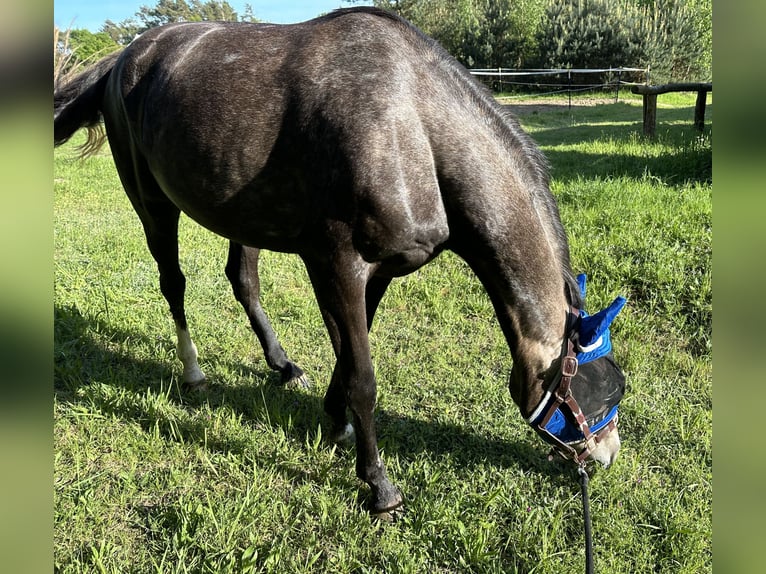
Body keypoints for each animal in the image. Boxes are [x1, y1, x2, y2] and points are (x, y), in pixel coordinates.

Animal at [55, 6, 632, 516]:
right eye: (604, 389)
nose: (607, 453)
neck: (410, 126)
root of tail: (125, 57)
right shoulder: (337, 264)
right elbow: (363, 377)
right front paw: (378, 485)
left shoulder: (378, 272)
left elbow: (348, 356)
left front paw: (335, 422)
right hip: (152, 204)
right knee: (172, 283)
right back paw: (194, 371)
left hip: (245, 218)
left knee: (243, 282)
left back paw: (282, 365)